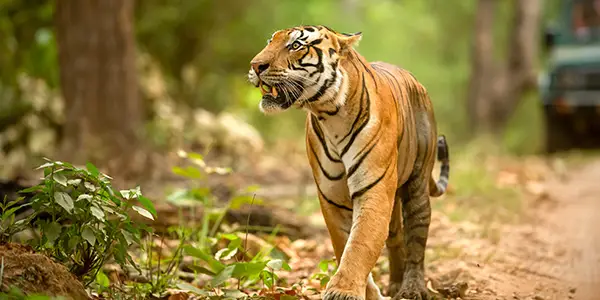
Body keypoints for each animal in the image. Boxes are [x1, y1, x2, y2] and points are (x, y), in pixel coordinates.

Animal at [248, 25, 450, 300]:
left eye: (296, 45)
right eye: (271, 41)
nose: (255, 65)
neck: (329, 113)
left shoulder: (373, 189)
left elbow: (360, 244)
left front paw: (343, 290)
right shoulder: (332, 196)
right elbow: (344, 243)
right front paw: (367, 292)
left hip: (417, 185)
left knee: (416, 238)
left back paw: (412, 288)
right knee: (395, 236)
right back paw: (395, 284)